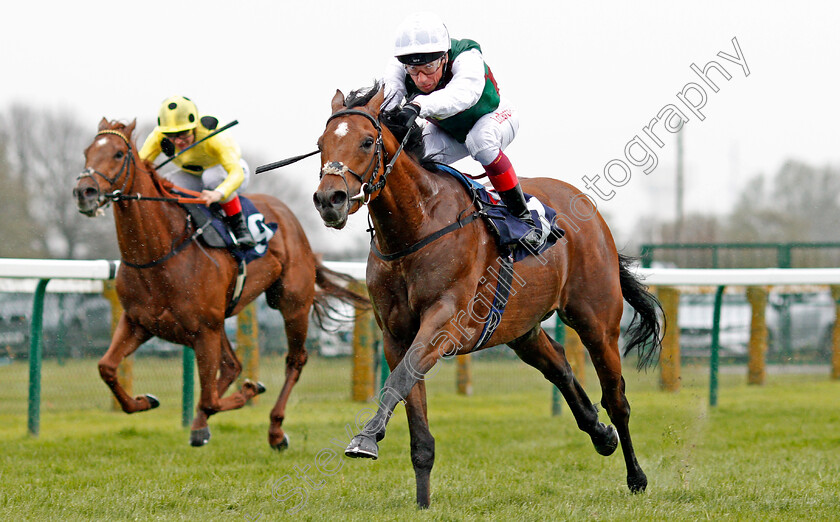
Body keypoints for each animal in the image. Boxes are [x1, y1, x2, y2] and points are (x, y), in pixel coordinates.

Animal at [74, 118, 368, 446]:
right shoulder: (140, 322)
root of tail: (292, 220)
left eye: (117, 154)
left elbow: (210, 397)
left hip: (291, 303)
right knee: (232, 365)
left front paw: (249, 390)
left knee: (295, 359)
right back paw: (201, 425)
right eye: (87, 151)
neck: (160, 251)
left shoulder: (204, 330)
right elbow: (107, 368)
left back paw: (275, 429)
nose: (84, 191)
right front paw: (144, 401)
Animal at [312, 86, 668, 508]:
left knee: (617, 400)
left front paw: (365, 438)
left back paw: (636, 476)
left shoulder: (444, 323)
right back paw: (601, 433)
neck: (416, 227)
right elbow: (412, 406)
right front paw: (422, 502)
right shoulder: (396, 336)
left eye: (367, 141)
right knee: (560, 367)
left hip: (597, 321)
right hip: (520, 328)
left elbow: (399, 379)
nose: (329, 199)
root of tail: (589, 210)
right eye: (321, 144)